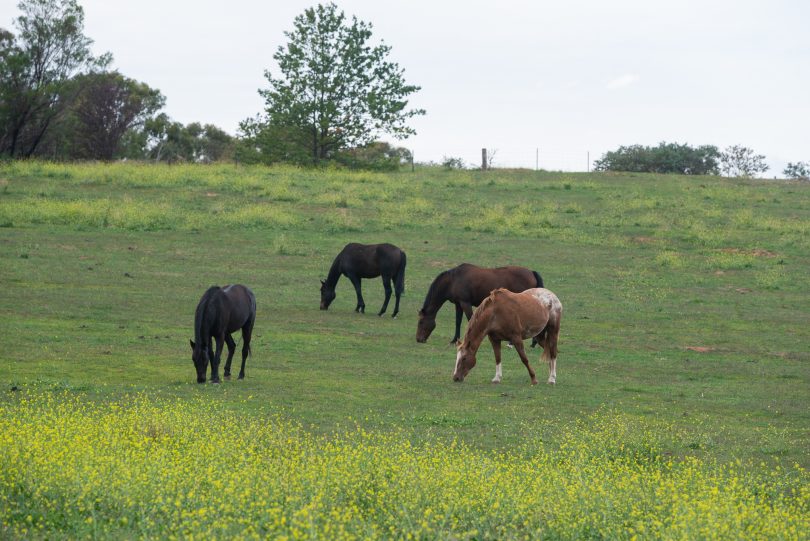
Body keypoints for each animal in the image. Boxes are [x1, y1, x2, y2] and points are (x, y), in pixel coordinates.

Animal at [416, 264, 544, 344]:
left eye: (421, 322)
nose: (418, 339)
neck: (453, 280)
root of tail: (531, 272)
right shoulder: (458, 304)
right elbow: (458, 322)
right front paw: (454, 340)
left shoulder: (465, 303)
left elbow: (470, 319)